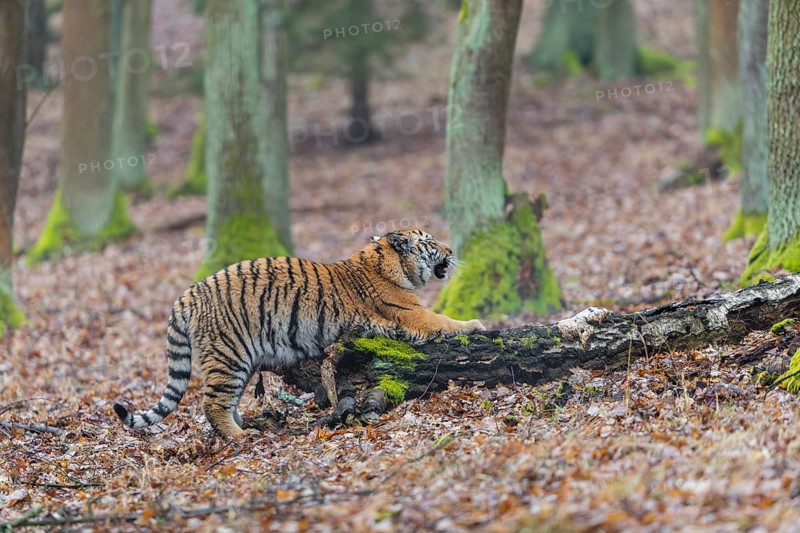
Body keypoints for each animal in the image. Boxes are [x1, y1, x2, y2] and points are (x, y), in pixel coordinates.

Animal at [114, 229, 485, 438]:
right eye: (430, 242)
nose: (451, 252)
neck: (388, 265)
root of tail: (189, 294)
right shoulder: (414, 315)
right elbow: (444, 320)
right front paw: (476, 324)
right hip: (229, 355)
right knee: (212, 403)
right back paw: (239, 436)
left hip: (241, 361)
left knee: (226, 401)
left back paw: (247, 427)